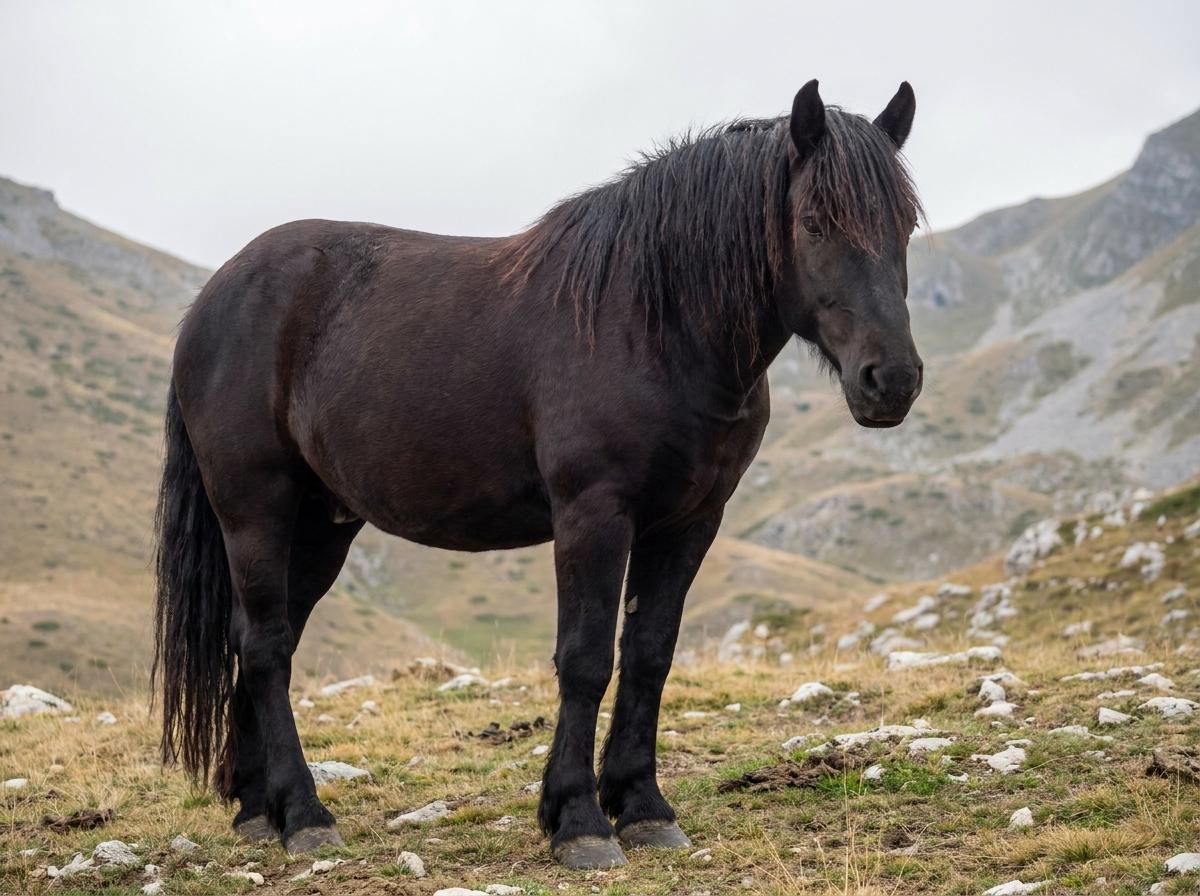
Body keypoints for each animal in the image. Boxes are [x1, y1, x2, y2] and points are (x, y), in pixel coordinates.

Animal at [153, 79, 924, 870]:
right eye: (814, 222)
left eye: (905, 224)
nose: (891, 380)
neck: (652, 321)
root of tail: (214, 297)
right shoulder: (593, 515)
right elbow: (584, 660)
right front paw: (579, 820)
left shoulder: (690, 522)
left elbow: (649, 654)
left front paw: (643, 808)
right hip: (255, 509)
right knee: (266, 647)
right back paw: (306, 816)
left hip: (320, 526)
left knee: (259, 641)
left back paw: (260, 809)